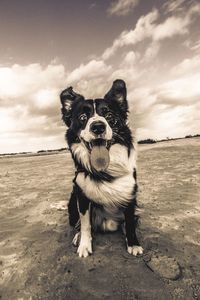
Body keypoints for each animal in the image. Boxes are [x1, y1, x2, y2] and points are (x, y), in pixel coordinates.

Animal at [59, 79, 144, 258]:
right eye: (83, 117)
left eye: (109, 116)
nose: (98, 127)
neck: (105, 171)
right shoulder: (82, 196)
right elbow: (85, 224)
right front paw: (84, 245)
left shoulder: (130, 194)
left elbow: (130, 222)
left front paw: (133, 243)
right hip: (72, 203)